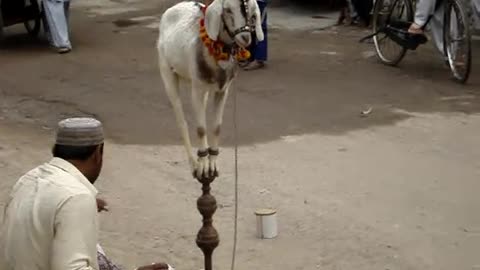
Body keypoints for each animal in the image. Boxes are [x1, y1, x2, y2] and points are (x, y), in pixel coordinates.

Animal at [157, 0, 262, 179]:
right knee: (181, 120)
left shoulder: (222, 91)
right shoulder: (197, 89)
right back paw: (194, 164)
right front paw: (203, 167)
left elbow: (216, 127)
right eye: (227, 10)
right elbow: (200, 129)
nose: (245, 38)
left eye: (252, 13)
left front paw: (212, 164)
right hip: (167, 73)